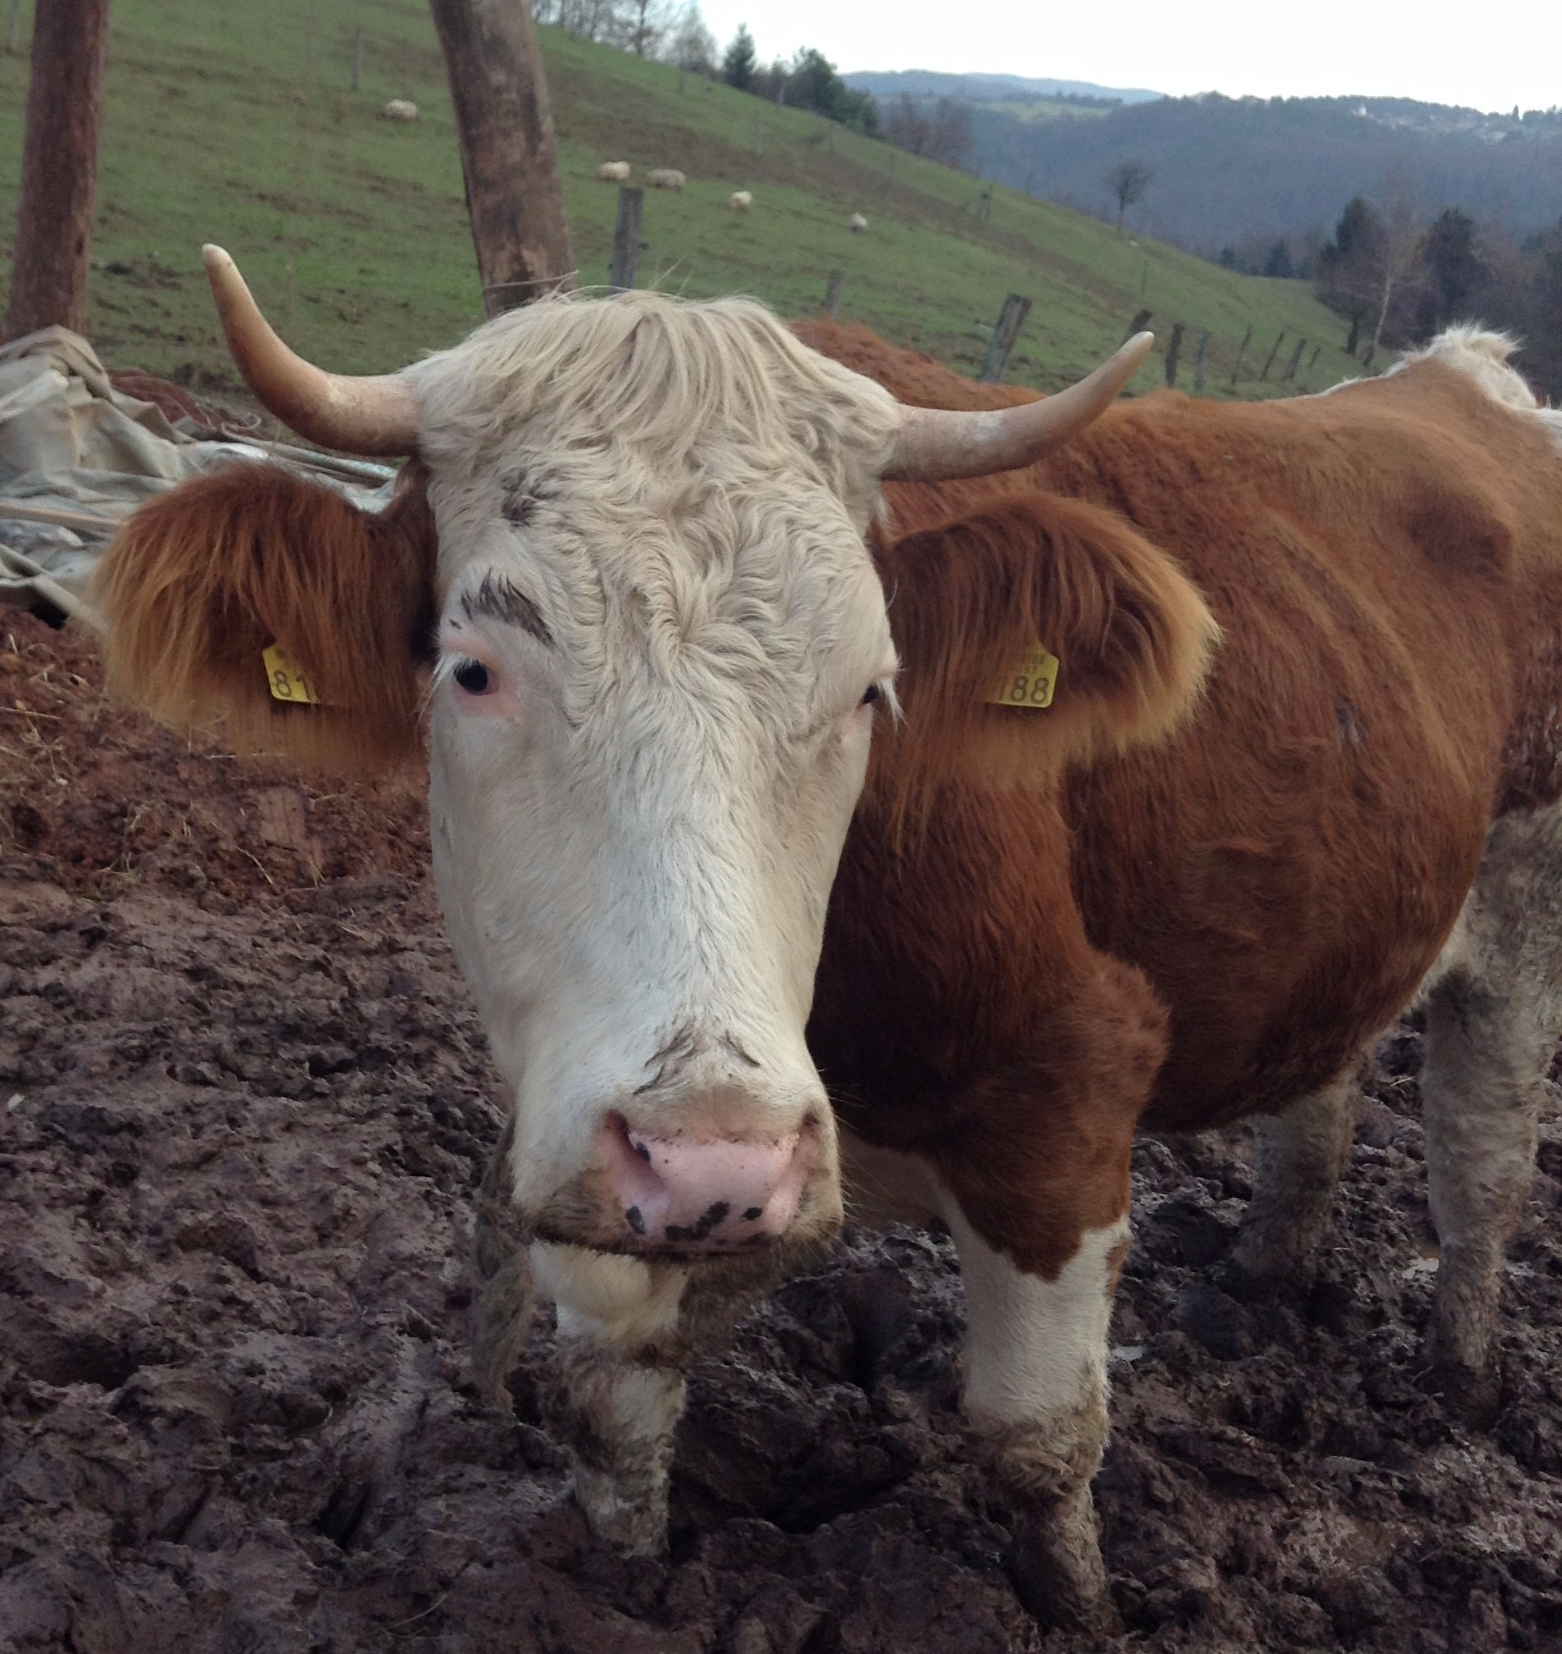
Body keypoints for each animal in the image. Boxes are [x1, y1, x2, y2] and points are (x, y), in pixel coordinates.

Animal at [92, 247, 1562, 1629]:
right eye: (472, 669)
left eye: (871, 687)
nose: (712, 1155)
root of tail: (1462, 377)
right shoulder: (595, 1147)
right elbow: (609, 1395)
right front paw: (620, 1571)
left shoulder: (1068, 1086)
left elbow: (1037, 1434)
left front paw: (1074, 1604)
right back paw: (1262, 1275)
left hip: (1525, 914)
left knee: (1480, 1155)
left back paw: (1461, 1375)